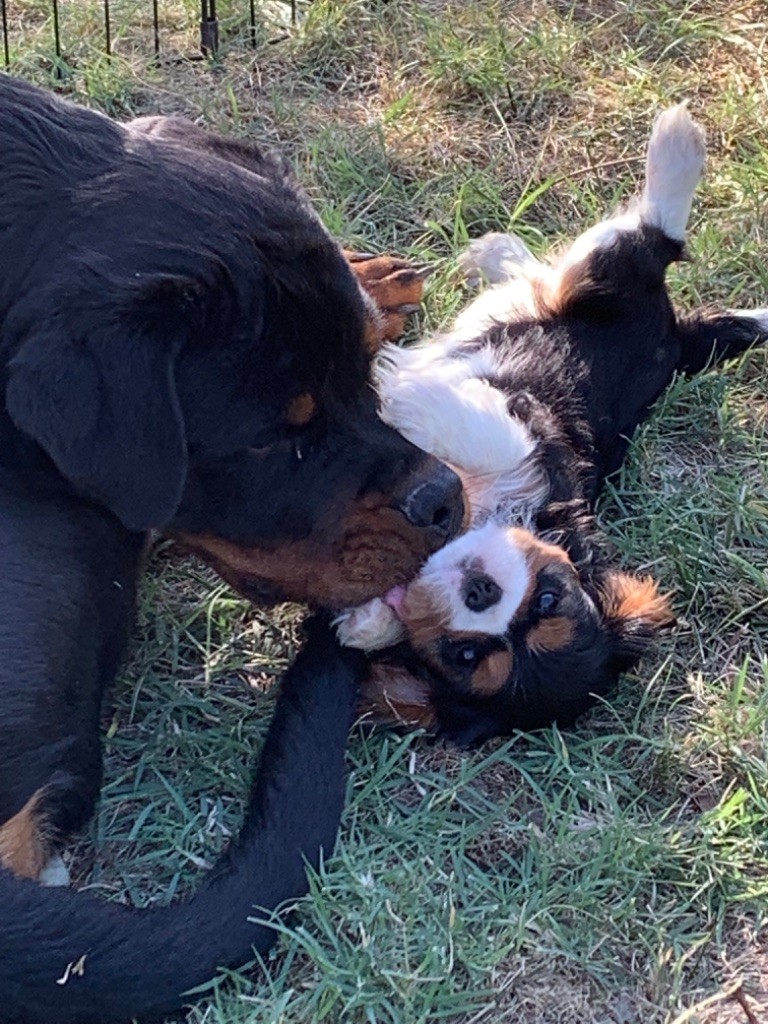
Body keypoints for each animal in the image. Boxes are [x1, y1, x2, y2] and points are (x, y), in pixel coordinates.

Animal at [339, 103, 768, 745]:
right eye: (546, 598)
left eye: (468, 654)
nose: (481, 589)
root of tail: (675, 342)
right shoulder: (534, 431)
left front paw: (365, 619)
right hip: (601, 288)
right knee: (646, 237)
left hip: (602, 281)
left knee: (640, 239)